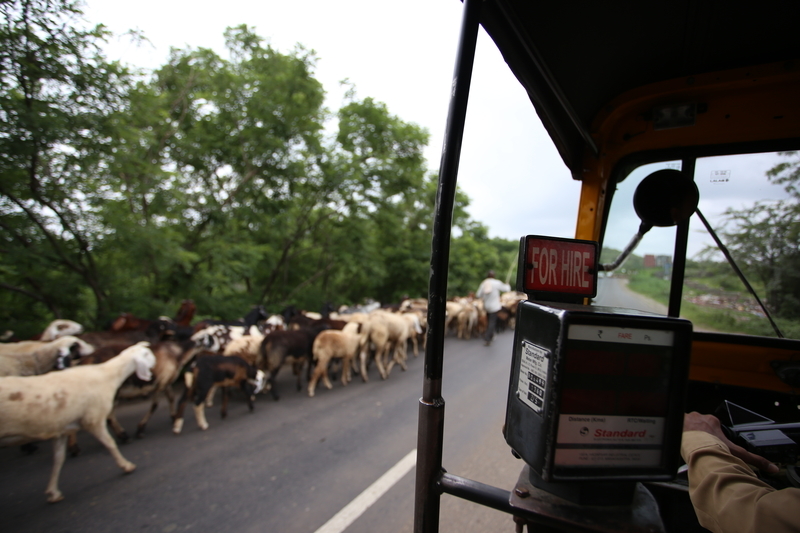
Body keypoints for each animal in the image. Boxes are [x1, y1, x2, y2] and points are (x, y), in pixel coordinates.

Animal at [0, 338, 157, 500]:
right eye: (147, 354)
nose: (156, 366)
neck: (106, 373)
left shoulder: (61, 427)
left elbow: (58, 459)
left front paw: (53, 492)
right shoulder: (93, 419)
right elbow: (110, 443)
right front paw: (126, 464)